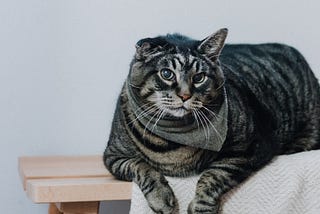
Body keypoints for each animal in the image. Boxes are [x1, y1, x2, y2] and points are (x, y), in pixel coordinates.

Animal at [104, 28, 318, 214]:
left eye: (199, 77)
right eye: (166, 74)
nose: (185, 95)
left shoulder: (252, 147)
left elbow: (214, 175)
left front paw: (201, 207)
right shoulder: (113, 156)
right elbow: (141, 167)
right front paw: (162, 198)